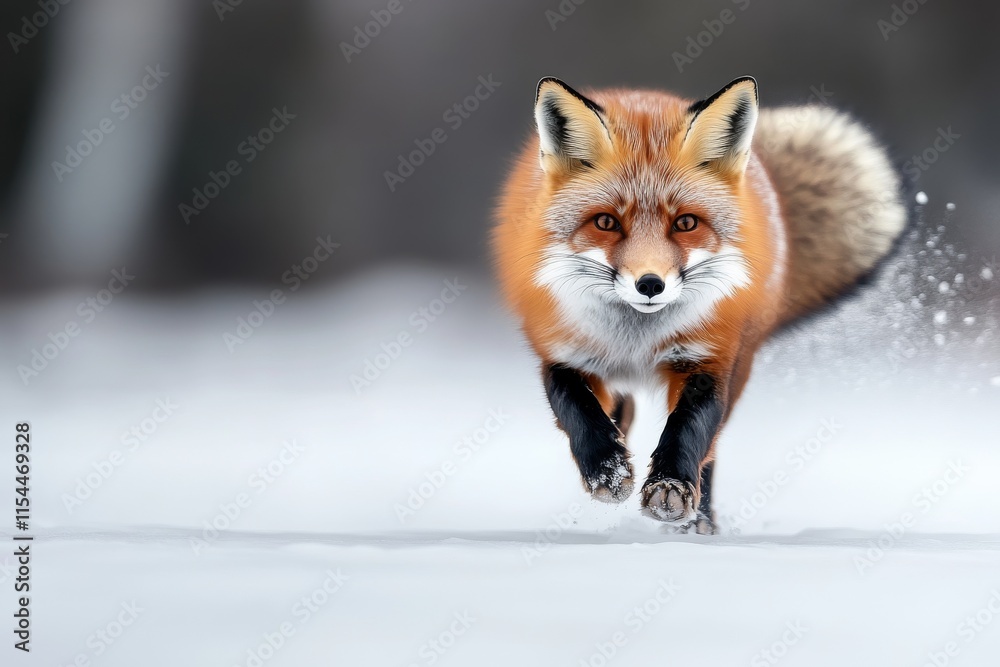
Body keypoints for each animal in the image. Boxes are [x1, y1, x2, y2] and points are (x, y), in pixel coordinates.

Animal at [492, 76, 907, 533]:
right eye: (606, 222)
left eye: (686, 223)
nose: (650, 284)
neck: (635, 342)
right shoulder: (561, 353)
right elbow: (579, 412)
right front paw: (607, 470)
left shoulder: (709, 361)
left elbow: (689, 431)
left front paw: (671, 488)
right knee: (622, 408)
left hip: (740, 365)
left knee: (710, 445)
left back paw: (699, 521)